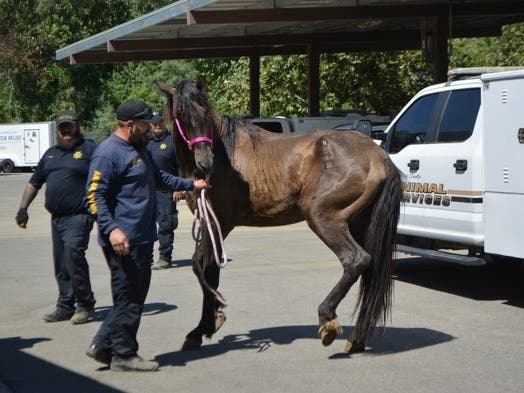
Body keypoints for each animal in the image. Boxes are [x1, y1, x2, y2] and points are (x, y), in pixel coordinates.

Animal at [155, 78, 402, 350]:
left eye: (205, 111)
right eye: (180, 113)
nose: (205, 162)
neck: (223, 155)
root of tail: (379, 155)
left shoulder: (217, 221)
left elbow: (201, 265)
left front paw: (202, 328)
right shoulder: (212, 224)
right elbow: (211, 269)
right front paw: (211, 320)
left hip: (324, 218)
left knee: (356, 261)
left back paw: (327, 319)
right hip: (360, 224)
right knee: (370, 270)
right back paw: (356, 340)